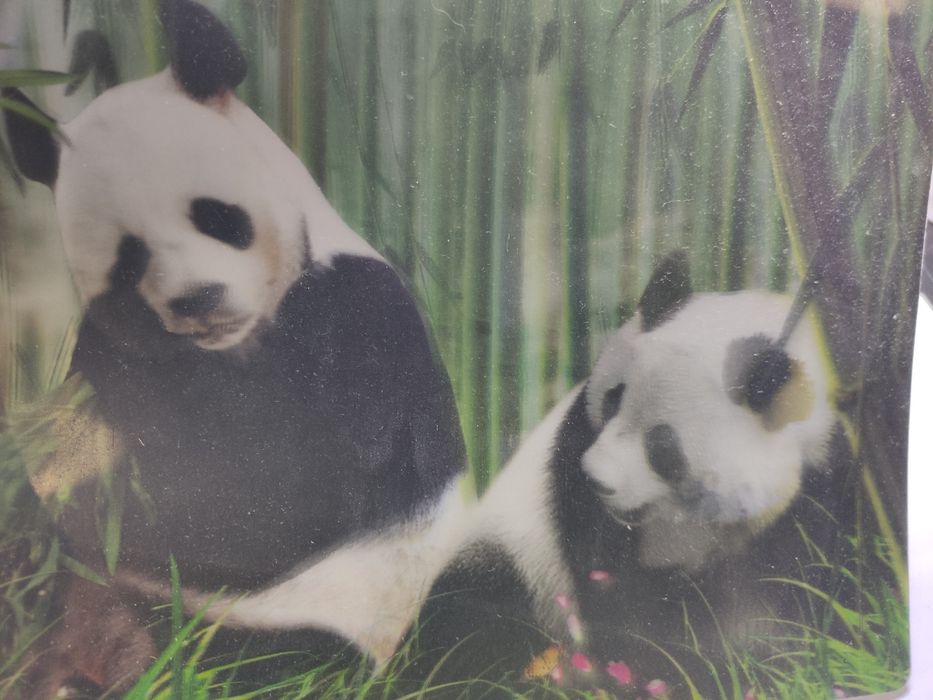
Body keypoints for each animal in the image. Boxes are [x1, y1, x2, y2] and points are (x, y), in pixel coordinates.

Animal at [3, 0, 465, 695]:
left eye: (217, 216)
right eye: (128, 260)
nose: (198, 299)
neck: (234, 349)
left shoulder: (355, 317)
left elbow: (292, 496)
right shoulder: (110, 358)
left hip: (305, 623)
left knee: (272, 664)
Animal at [409, 252, 842, 698]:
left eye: (663, 444)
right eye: (614, 399)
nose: (596, 480)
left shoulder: (823, 485)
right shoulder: (572, 462)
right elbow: (620, 596)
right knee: (475, 620)